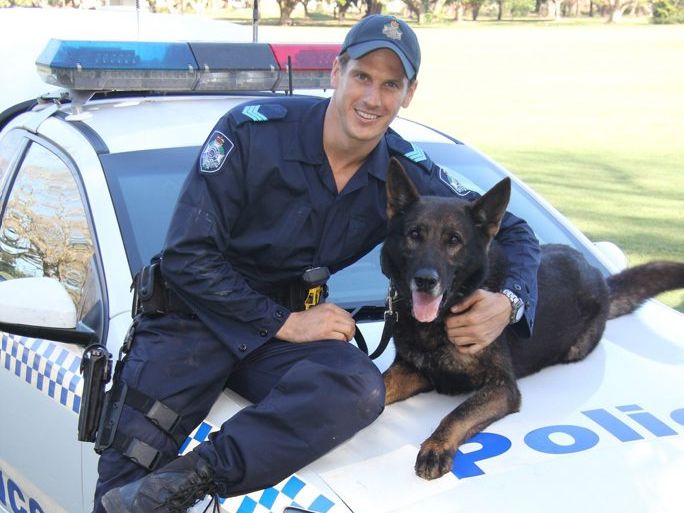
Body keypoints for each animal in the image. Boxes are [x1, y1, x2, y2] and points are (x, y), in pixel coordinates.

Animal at [382, 157, 684, 480]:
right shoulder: (413, 370)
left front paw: (436, 446)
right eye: (415, 234)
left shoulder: (503, 388)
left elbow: (457, 414)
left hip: (575, 348)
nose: (425, 280)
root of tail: (600, 278)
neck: (439, 320)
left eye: (454, 240)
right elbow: (381, 386)